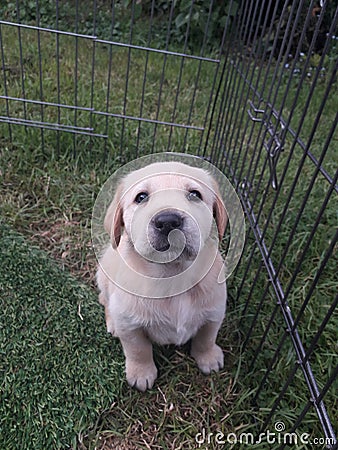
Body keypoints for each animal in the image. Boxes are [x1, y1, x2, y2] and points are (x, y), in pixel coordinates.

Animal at [97, 161, 227, 390]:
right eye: (141, 197)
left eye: (195, 194)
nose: (168, 221)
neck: (172, 274)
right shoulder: (129, 324)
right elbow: (138, 349)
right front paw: (141, 373)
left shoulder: (215, 311)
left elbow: (207, 337)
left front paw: (209, 358)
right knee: (104, 299)